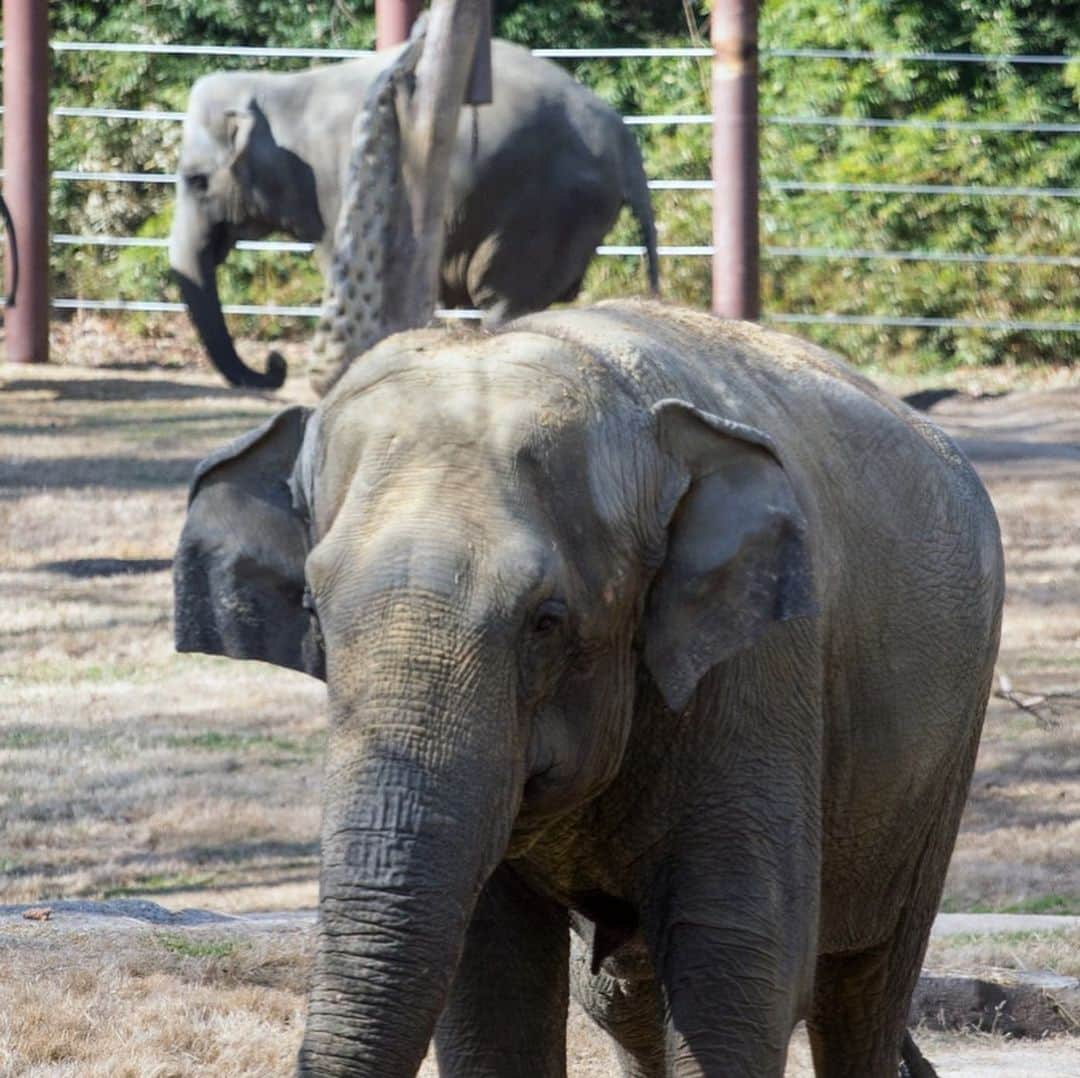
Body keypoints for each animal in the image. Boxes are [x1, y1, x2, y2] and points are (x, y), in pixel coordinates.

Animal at [168, 39, 656, 391]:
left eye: (196, 181)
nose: (275, 368)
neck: (276, 87)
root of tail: (622, 135)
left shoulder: (335, 182)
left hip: (543, 206)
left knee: (504, 296)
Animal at [174, 304, 1002, 1078]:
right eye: (314, 612)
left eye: (546, 621)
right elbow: (494, 981)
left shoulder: (760, 671)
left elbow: (739, 963)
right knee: (621, 992)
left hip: (942, 758)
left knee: (862, 989)